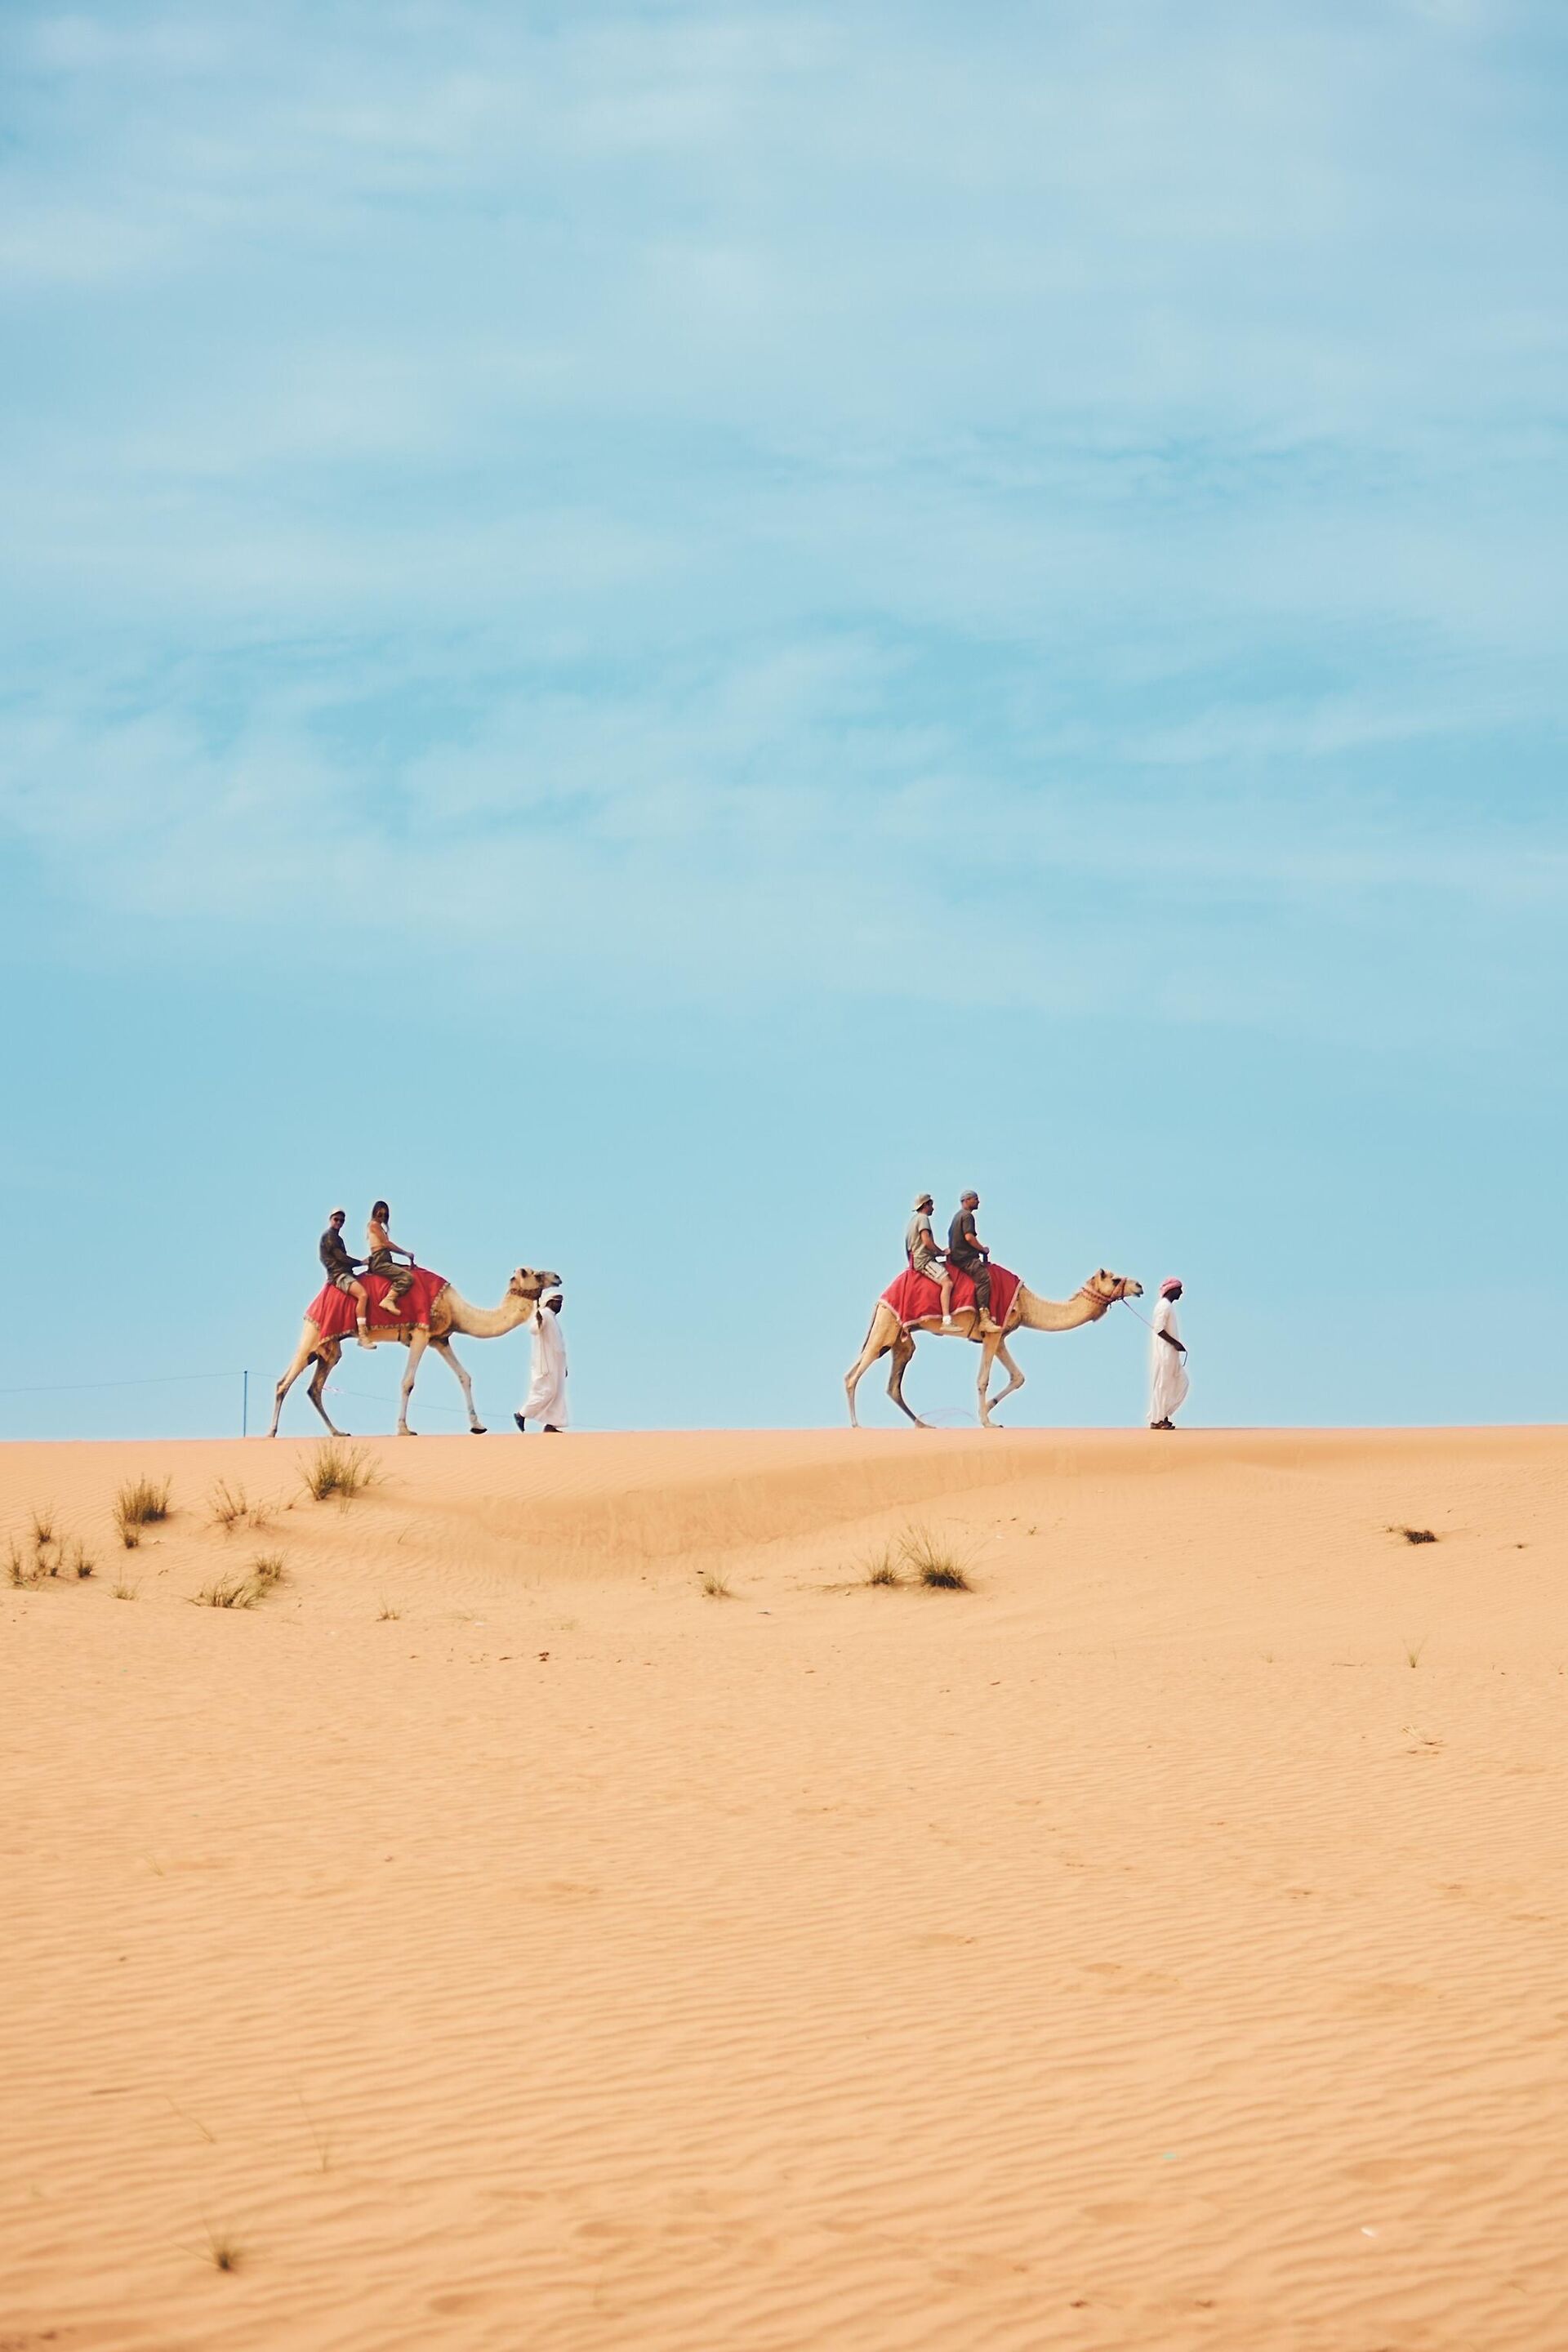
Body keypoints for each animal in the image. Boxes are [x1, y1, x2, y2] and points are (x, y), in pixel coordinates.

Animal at [271, 1270, 564, 1430]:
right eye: (537, 1273)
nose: (558, 1277)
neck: (455, 1308)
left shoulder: (440, 1339)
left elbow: (465, 1376)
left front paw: (478, 1426)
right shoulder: (421, 1334)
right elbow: (408, 1382)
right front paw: (404, 1429)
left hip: (328, 1348)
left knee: (314, 1387)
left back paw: (338, 1433)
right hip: (314, 1334)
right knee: (284, 1383)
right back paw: (271, 1433)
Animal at [846, 1279, 1142, 1420]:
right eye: (1115, 1279)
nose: (1139, 1286)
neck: (1026, 1303)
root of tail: (880, 1299)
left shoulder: (999, 1336)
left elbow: (1018, 1377)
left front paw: (987, 1412)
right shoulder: (993, 1331)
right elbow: (982, 1379)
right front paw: (986, 1421)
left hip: (900, 1339)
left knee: (892, 1385)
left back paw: (924, 1424)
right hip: (887, 1327)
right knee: (853, 1375)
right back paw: (857, 1425)